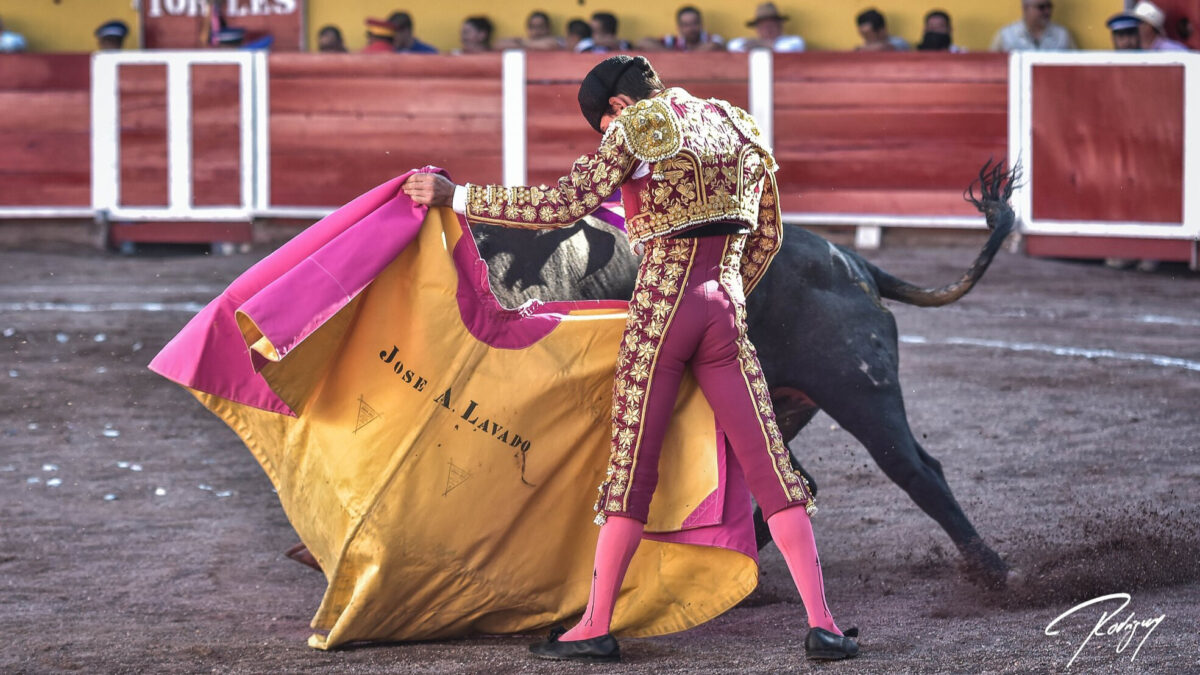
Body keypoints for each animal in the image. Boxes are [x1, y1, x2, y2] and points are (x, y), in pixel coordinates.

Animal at [472, 162, 1017, 583]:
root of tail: (854, 263)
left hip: (860, 391)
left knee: (916, 471)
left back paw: (992, 570)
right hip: (775, 404)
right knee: (797, 481)